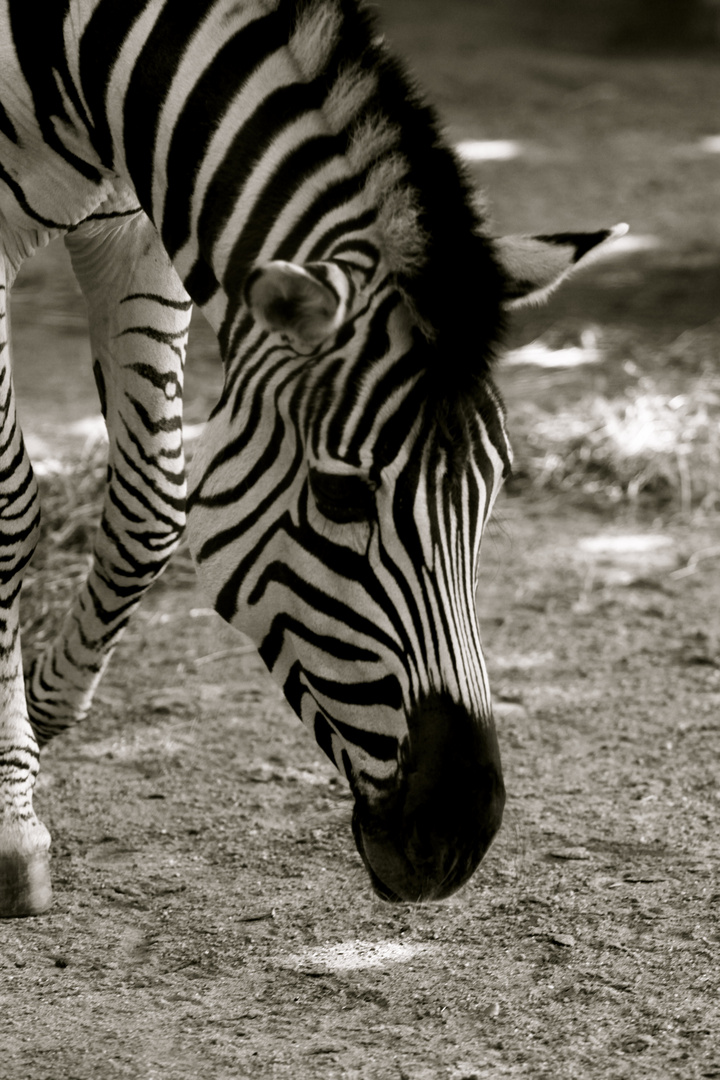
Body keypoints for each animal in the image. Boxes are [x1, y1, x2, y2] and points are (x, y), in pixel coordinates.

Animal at [0, 0, 626, 920]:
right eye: (339, 497)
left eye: (495, 488)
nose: (457, 842)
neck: (83, 56)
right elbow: (10, 505)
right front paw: (12, 816)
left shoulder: (137, 217)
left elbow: (153, 506)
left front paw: (45, 711)